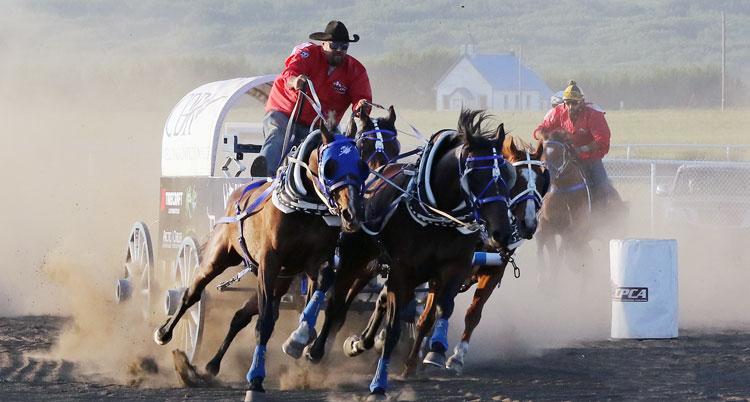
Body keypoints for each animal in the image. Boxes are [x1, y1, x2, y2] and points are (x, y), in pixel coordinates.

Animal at [153, 121, 370, 400]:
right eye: (330, 166)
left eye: (362, 165)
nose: (352, 212)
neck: (304, 207)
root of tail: (239, 191)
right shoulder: (269, 263)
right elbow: (264, 324)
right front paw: (255, 381)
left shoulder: (316, 262)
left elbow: (321, 286)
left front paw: (298, 339)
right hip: (219, 258)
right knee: (192, 293)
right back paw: (165, 332)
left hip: (280, 281)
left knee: (240, 316)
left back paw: (212, 365)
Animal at [302, 108, 516, 400]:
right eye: (475, 175)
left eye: (506, 174)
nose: (501, 232)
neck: (436, 214)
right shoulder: (402, 272)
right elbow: (392, 329)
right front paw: (378, 384)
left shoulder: (455, 266)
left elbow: (443, 306)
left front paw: (436, 350)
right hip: (355, 260)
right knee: (336, 304)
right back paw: (315, 349)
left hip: (378, 266)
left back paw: (359, 342)